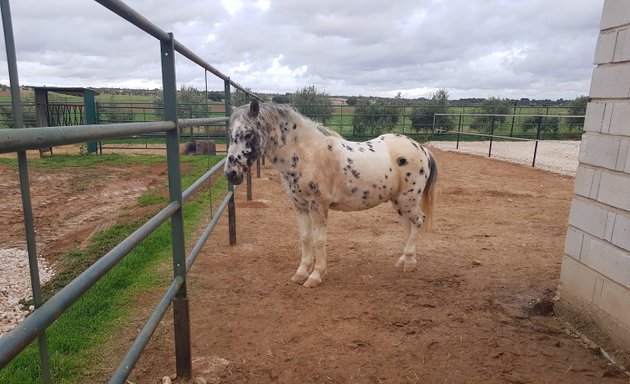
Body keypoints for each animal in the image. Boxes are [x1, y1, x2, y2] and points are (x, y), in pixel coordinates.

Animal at [226, 100, 440, 286]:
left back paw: (409, 263)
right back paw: (403, 260)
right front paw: (301, 273)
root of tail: (422, 149)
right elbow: (305, 238)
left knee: (418, 221)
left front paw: (315, 276)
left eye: (248, 134)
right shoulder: (300, 206)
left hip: (408, 200)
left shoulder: (318, 206)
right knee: (408, 226)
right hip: (399, 202)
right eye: (230, 133)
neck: (308, 154)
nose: (231, 173)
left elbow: (319, 240)